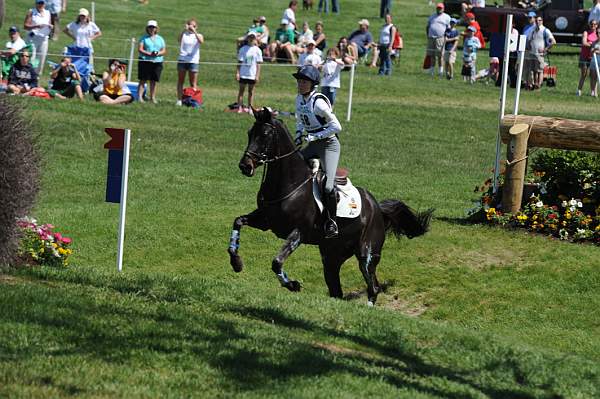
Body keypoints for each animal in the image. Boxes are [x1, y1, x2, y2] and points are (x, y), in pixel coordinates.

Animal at [227, 108, 434, 304]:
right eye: (250, 133)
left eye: (265, 135)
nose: (245, 166)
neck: (289, 184)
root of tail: (376, 207)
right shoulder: (266, 221)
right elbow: (238, 221)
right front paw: (236, 263)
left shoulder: (298, 232)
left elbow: (276, 262)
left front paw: (293, 285)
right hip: (332, 257)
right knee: (337, 290)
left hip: (367, 254)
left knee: (373, 286)